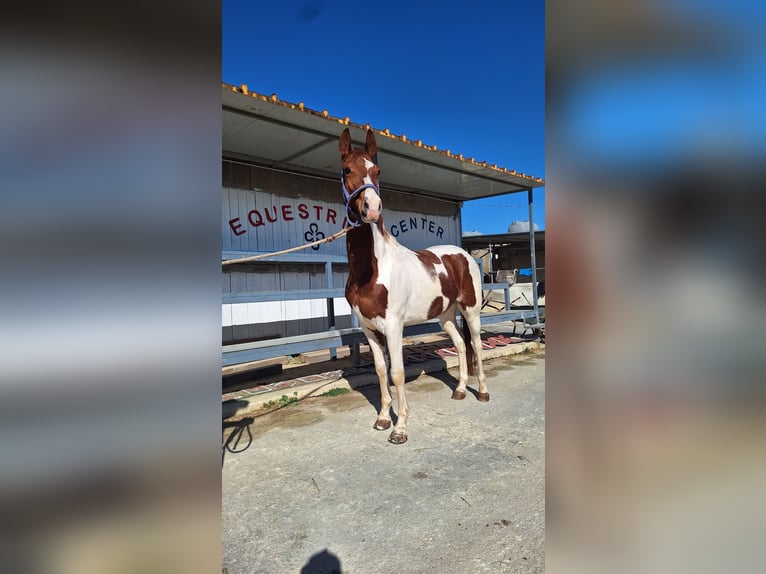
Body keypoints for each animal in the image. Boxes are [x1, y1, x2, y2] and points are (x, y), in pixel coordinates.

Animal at [339, 127, 488, 444]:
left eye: (377, 170)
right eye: (347, 170)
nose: (372, 209)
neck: (372, 269)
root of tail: (464, 254)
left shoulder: (394, 326)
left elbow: (397, 372)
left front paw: (400, 428)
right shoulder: (368, 328)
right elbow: (381, 371)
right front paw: (383, 418)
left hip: (470, 310)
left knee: (476, 345)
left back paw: (482, 391)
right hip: (446, 314)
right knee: (460, 344)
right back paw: (459, 390)